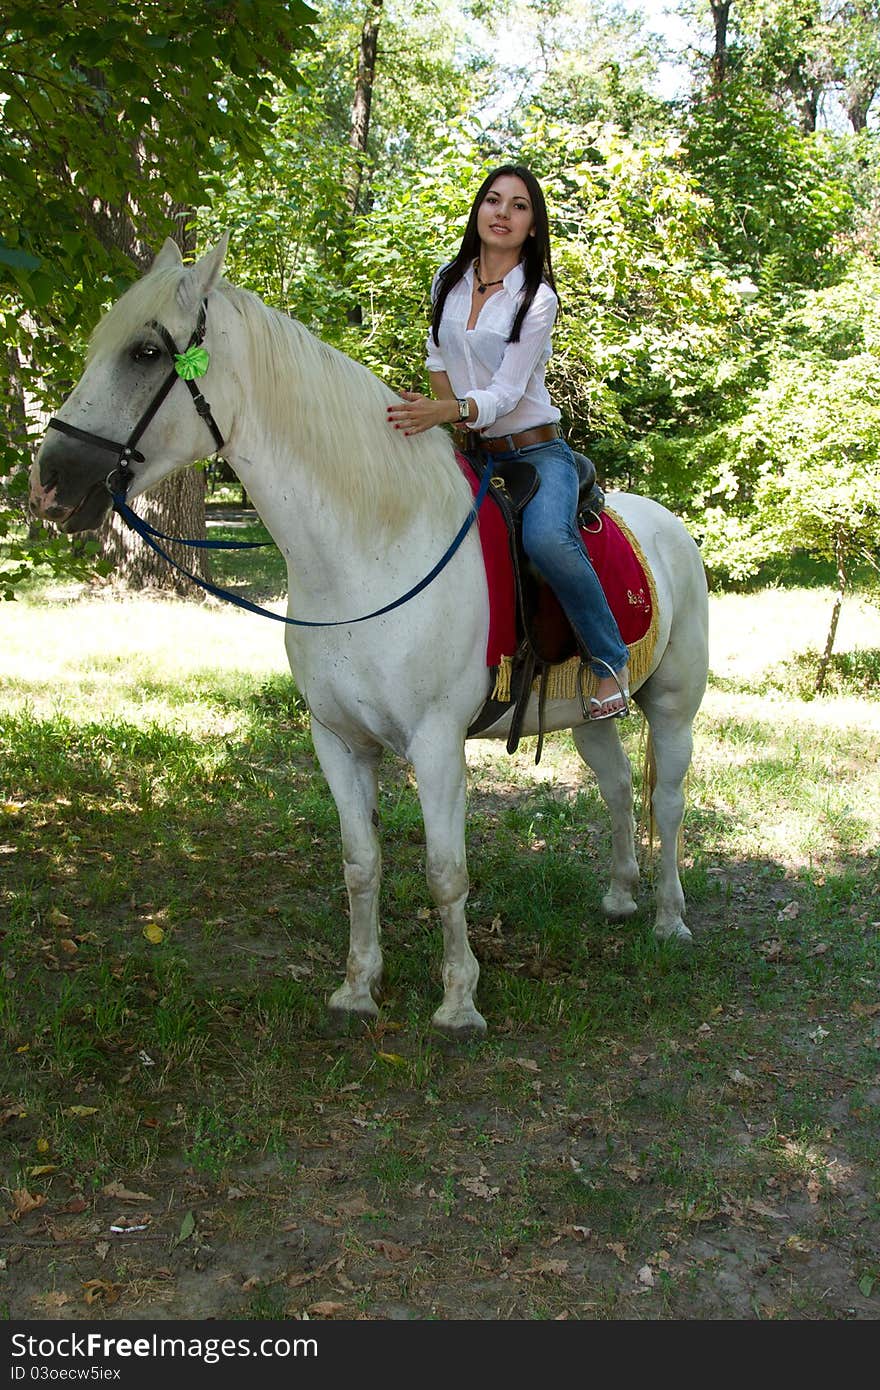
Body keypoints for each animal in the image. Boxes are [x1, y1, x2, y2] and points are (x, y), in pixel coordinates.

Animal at [30, 239, 711, 1039]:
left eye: (143, 352)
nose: (48, 482)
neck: (372, 546)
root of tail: (669, 529)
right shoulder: (339, 740)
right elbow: (360, 864)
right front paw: (358, 987)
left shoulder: (437, 743)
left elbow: (446, 872)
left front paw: (458, 1001)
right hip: (588, 712)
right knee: (618, 787)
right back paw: (620, 894)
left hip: (673, 707)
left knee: (668, 800)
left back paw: (670, 918)